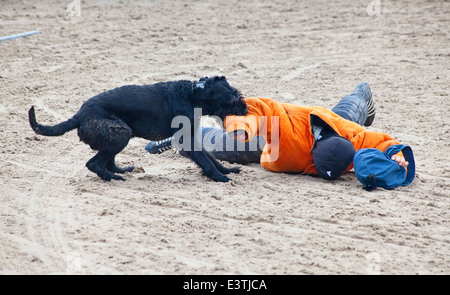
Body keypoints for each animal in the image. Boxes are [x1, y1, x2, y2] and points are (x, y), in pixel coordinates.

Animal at [29, 76, 246, 183]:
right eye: (230, 99)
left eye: (237, 92)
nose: (244, 109)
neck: (192, 95)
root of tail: (78, 116)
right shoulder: (186, 140)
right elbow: (205, 161)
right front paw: (219, 177)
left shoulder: (192, 137)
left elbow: (210, 157)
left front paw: (227, 170)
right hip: (120, 134)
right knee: (93, 163)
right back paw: (114, 178)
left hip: (118, 135)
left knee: (107, 161)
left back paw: (120, 170)